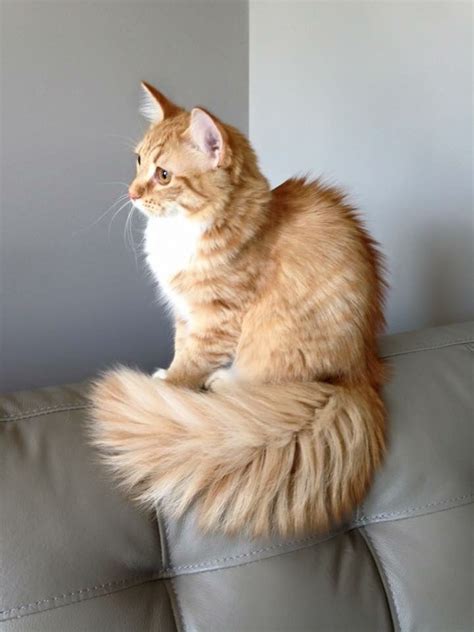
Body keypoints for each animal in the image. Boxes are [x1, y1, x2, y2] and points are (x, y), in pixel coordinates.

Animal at [90, 82, 386, 540]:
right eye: (138, 161)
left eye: (164, 175)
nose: (132, 193)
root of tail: (360, 377)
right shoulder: (185, 314)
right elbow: (181, 349)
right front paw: (169, 374)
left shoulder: (217, 318)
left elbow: (190, 362)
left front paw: (168, 387)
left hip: (273, 353)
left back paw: (221, 382)